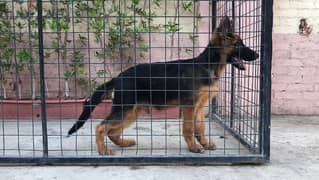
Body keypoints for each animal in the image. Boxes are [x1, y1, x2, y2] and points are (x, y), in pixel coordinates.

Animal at [68, 16, 260, 155]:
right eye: (239, 44)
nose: (257, 55)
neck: (207, 65)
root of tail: (118, 76)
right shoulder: (189, 106)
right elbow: (189, 128)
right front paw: (194, 147)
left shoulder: (199, 107)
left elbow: (200, 128)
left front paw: (204, 143)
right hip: (124, 108)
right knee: (101, 127)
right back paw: (103, 151)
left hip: (132, 111)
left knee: (112, 131)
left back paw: (124, 143)